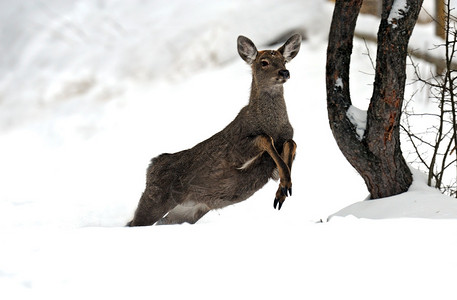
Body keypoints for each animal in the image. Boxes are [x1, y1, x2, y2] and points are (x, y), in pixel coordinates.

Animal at [126, 34, 302, 226]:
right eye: (264, 62)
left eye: (284, 61)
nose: (284, 72)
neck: (272, 125)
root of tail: (152, 166)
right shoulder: (236, 150)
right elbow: (264, 138)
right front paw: (285, 186)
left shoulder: (273, 164)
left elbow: (291, 143)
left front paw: (283, 189)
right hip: (155, 199)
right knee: (133, 222)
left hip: (186, 212)